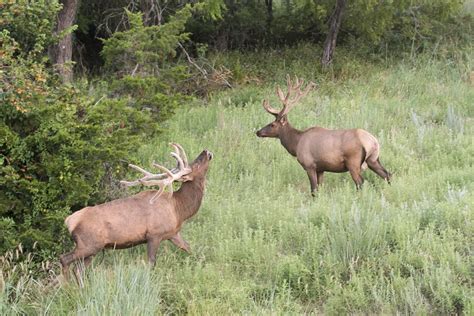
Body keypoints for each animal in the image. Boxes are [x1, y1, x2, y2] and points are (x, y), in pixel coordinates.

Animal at [59, 143, 213, 282]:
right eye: (196, 164)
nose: (206, 151)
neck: (179, 209)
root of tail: (69, 221)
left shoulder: (173, 234)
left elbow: (189, 248)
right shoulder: (154, 235)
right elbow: (151, 263)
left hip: (92, 249)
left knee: (78, 269)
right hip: (88, 244)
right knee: (64, 259)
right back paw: (67, 288)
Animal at [258, 76, 390, 195]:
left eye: (272, 124)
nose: (258, 132)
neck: (296, 144)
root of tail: (373, 141)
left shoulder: (309, 165)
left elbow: (314, 190)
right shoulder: (321, 169)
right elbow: (320, 188)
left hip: (353, 162)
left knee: (361, 182)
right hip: (373, 159)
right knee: (387, 174)